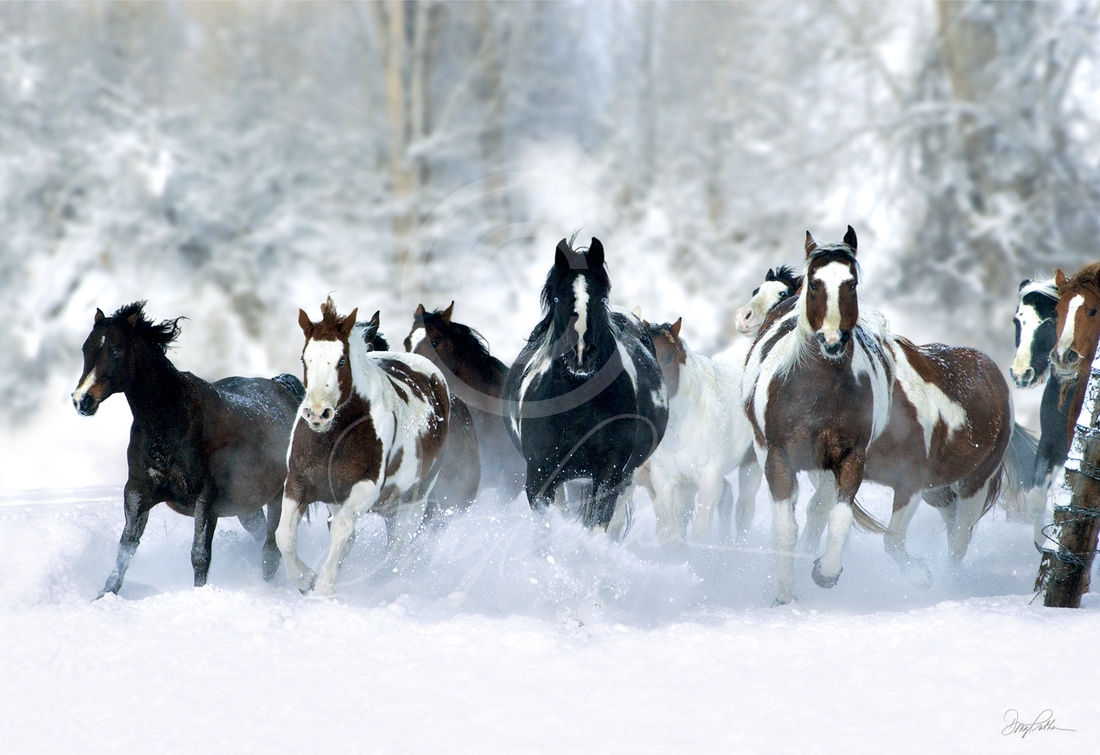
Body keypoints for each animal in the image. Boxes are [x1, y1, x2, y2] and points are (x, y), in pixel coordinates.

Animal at [71, 302, 304, 596]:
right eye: (86, 348)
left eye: (115, 349)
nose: (82, 400)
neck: (169, 421)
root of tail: (281, 386)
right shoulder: (137, 491)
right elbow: (126, 547)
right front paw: (105, 594)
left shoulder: (205, 498)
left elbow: (200, 554)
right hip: (246, 505)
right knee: (262, 538)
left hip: (278, 496)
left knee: (272, 550)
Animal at [276, 298, 451, 595]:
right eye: (304, 359)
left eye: (341, 360)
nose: (317, 413)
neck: (334, 438)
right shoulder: (299, 481)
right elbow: (285, 536)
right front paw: (305, 578)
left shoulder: (367, 487)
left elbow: (342, 529)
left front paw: (324, 587)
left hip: (416, 496)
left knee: (400, 546)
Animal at [503, 236, 668, 529]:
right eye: (558, 299)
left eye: (601, 299)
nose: (580, 354)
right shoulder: (539, 477)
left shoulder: (610, 473)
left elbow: (597, 526)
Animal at [633, 317, 760, 545]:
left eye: (668, 357)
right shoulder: (666, 480)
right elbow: (672, 529)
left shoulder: (709, 478)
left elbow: (701, 530)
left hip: (751, 464)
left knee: (744, 510)